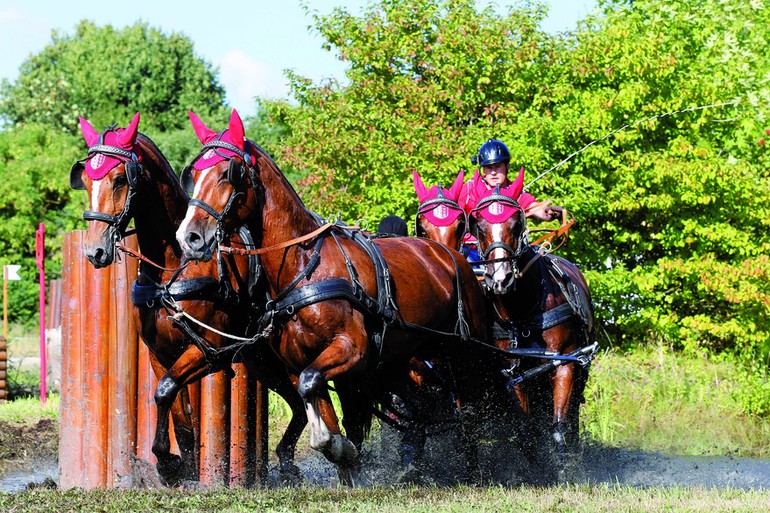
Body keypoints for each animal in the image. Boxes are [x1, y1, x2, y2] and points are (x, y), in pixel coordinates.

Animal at [67, 112, 304, 484]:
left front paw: (167, 461)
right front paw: (185, 467)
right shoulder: (160, 355)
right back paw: (290, 462)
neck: (173, 266)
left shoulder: (207, 352)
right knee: (299, 405)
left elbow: (164, 391)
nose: (95, 250)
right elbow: (180, 416)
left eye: (120, 180)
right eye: (87, 183)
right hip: (263, 362)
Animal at [174, 109, 498, 484]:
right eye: (194, 174)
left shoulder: (351, 349)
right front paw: (343, 461)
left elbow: (315, 393)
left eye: (229, 172)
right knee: (420, 408)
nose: (190, 237)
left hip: (466, 354)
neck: (303, 266)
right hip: (398, 361)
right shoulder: (301, 364)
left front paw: (336, 448)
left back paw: (477, 470)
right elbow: (316, 398)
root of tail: (452, 256)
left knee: (472, 410)